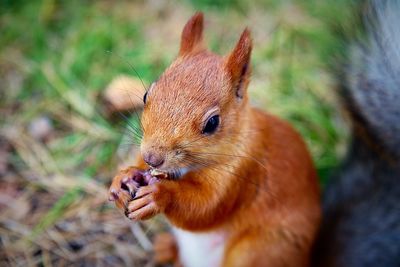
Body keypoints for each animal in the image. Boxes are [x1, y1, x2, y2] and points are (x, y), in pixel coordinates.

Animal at [109, 12, 322, 267]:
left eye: (212, 123)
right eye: (146, 95)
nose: (152, 157)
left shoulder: (240, 175)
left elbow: (205, 208)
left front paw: (159, 195)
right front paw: (123, 178)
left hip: (261, 250)